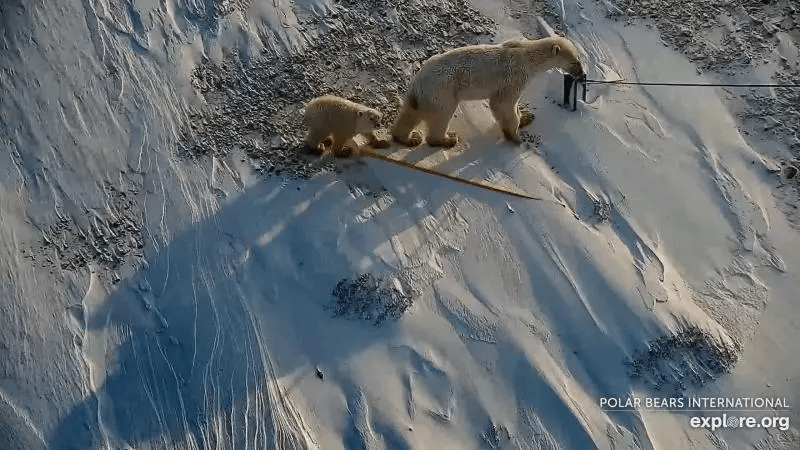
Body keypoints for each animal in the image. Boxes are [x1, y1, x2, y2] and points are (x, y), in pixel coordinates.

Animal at [391, 36, 585, 148]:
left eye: (579, 59)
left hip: (422, 95)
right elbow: (503, 104)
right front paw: (515, 136)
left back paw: (408, 138)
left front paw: (526, 116)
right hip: (442, 92)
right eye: (575, 62)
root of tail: (418, 83)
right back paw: (447, 139)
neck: (528, 57)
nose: (582, 73)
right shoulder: (515, 77)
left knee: (410, 113)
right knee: (442, 115)